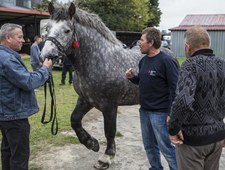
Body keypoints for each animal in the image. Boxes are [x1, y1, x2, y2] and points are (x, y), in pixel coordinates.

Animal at [40, 2, 176, 169]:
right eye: (47, 28)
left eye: (67, 30)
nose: (45, 56)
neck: (98, 60)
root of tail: (169, 53)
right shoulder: (86, 100)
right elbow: (75, 120)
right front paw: (92, 143)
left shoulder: (109, 105)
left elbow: (109, 131)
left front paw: (106, 157)